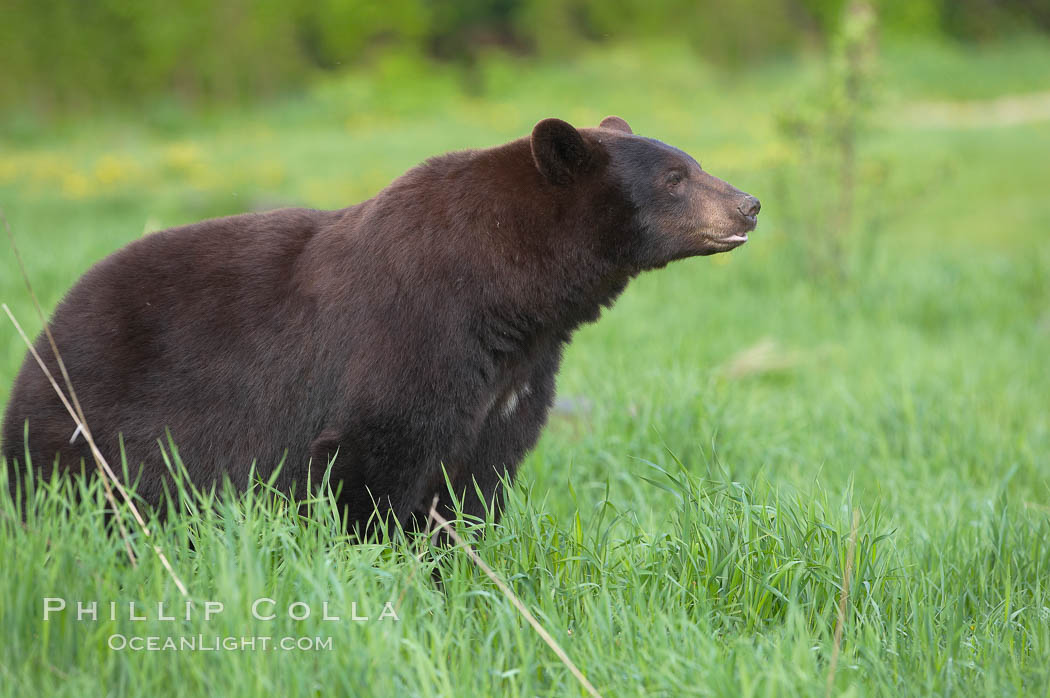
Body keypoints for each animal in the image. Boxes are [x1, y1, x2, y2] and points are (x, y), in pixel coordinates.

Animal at [2, 116, 760, 533]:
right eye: (675, 177)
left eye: (693, 165)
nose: (748, 204)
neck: (505, 293)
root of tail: (43, 340)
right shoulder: (409, 339)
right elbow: (371, 464)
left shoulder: (513, 375)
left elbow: (477, 481)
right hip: (96, 423)